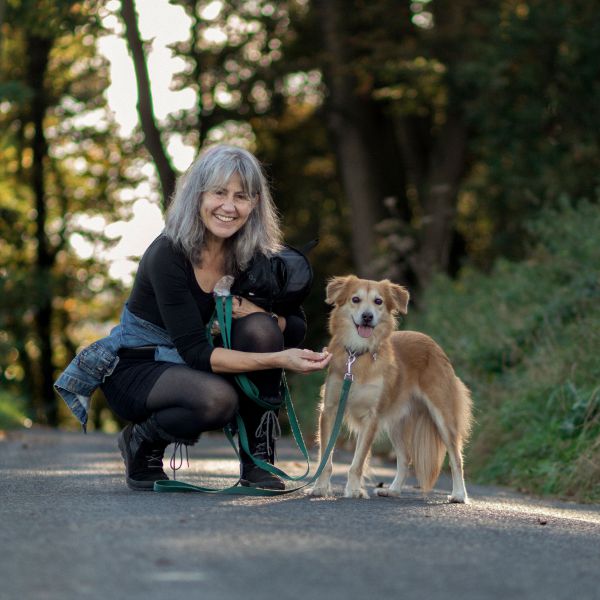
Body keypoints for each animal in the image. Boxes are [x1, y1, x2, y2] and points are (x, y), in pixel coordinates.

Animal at [310, 276, 474, 502]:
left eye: (378, 301)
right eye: (355, 299)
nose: (367, 316)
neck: (358, 355)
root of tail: (433, 344)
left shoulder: (371, 417)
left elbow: (357, 463)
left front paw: (354, 490)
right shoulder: (330, 410)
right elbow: (325, 458)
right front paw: (320, 488)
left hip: (443, 418)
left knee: (456, 458)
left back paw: (459, 494)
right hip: (395, 423)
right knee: (405, 459)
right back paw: (393, 490)